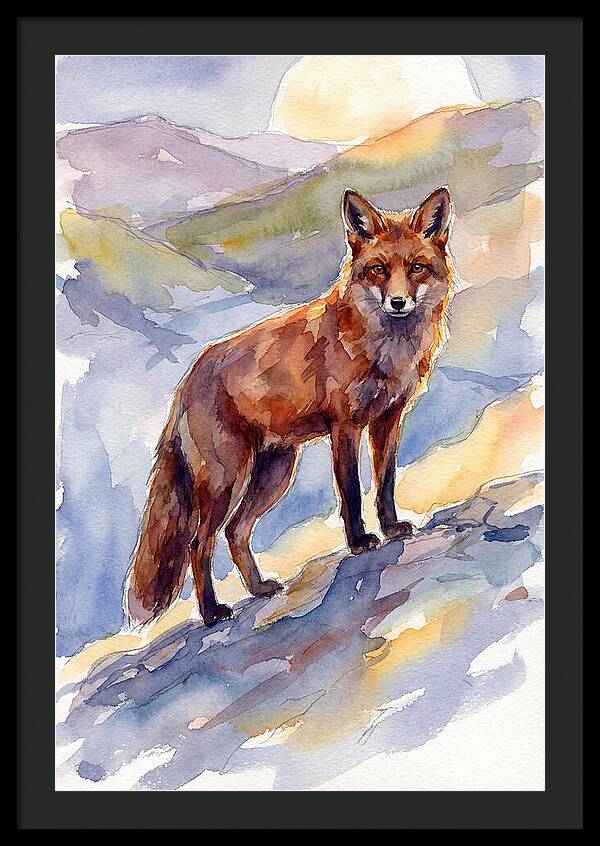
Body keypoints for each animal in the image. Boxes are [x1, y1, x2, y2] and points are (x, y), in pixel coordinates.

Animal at [125, 187, 456, 627]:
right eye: (378, 270)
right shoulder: (344, 426)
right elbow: (351, 491)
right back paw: (212, 613)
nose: (398, 302)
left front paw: (391, 528)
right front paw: (359, 542)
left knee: (236, 532)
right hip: (226, 478)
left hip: (275, 472)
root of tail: (188, 379)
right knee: (199, 541)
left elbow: (384, 483)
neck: (385, 348)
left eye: (417, 267)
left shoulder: (388, 419)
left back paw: (259, 588)